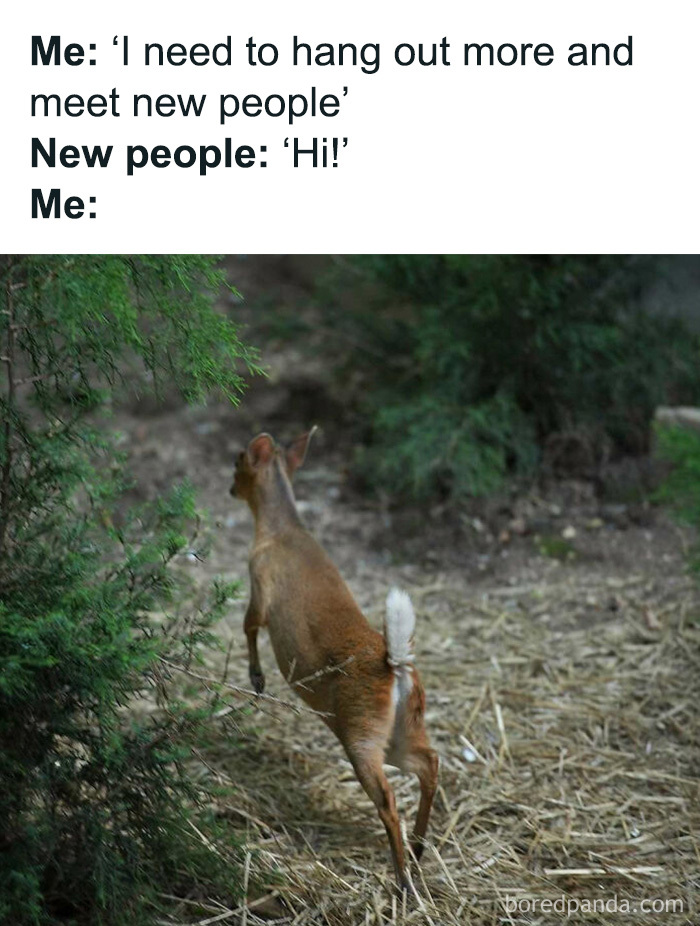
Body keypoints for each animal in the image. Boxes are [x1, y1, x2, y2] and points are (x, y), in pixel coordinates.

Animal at [230, 428, 438, 893]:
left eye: (237, 460)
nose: (230, 487)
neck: (281, 530)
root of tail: (395, 666)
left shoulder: (259, 582)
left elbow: (247, 625)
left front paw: (257, 678)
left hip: (360, 732)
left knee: (389, 797)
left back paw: (402, 878)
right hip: (398, 730)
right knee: (430, 763)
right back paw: (417, 851)